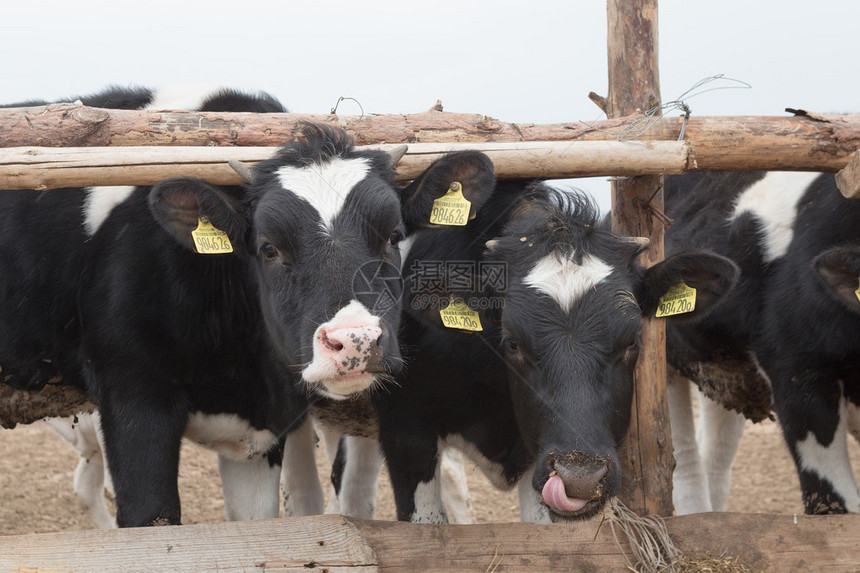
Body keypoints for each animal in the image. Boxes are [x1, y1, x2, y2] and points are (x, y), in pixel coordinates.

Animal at [1, 84, 490, 524]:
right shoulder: (133, 393)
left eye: (393, 235)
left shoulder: (258, 435)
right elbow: (150, 521)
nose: (355, 341)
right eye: (268, 247)